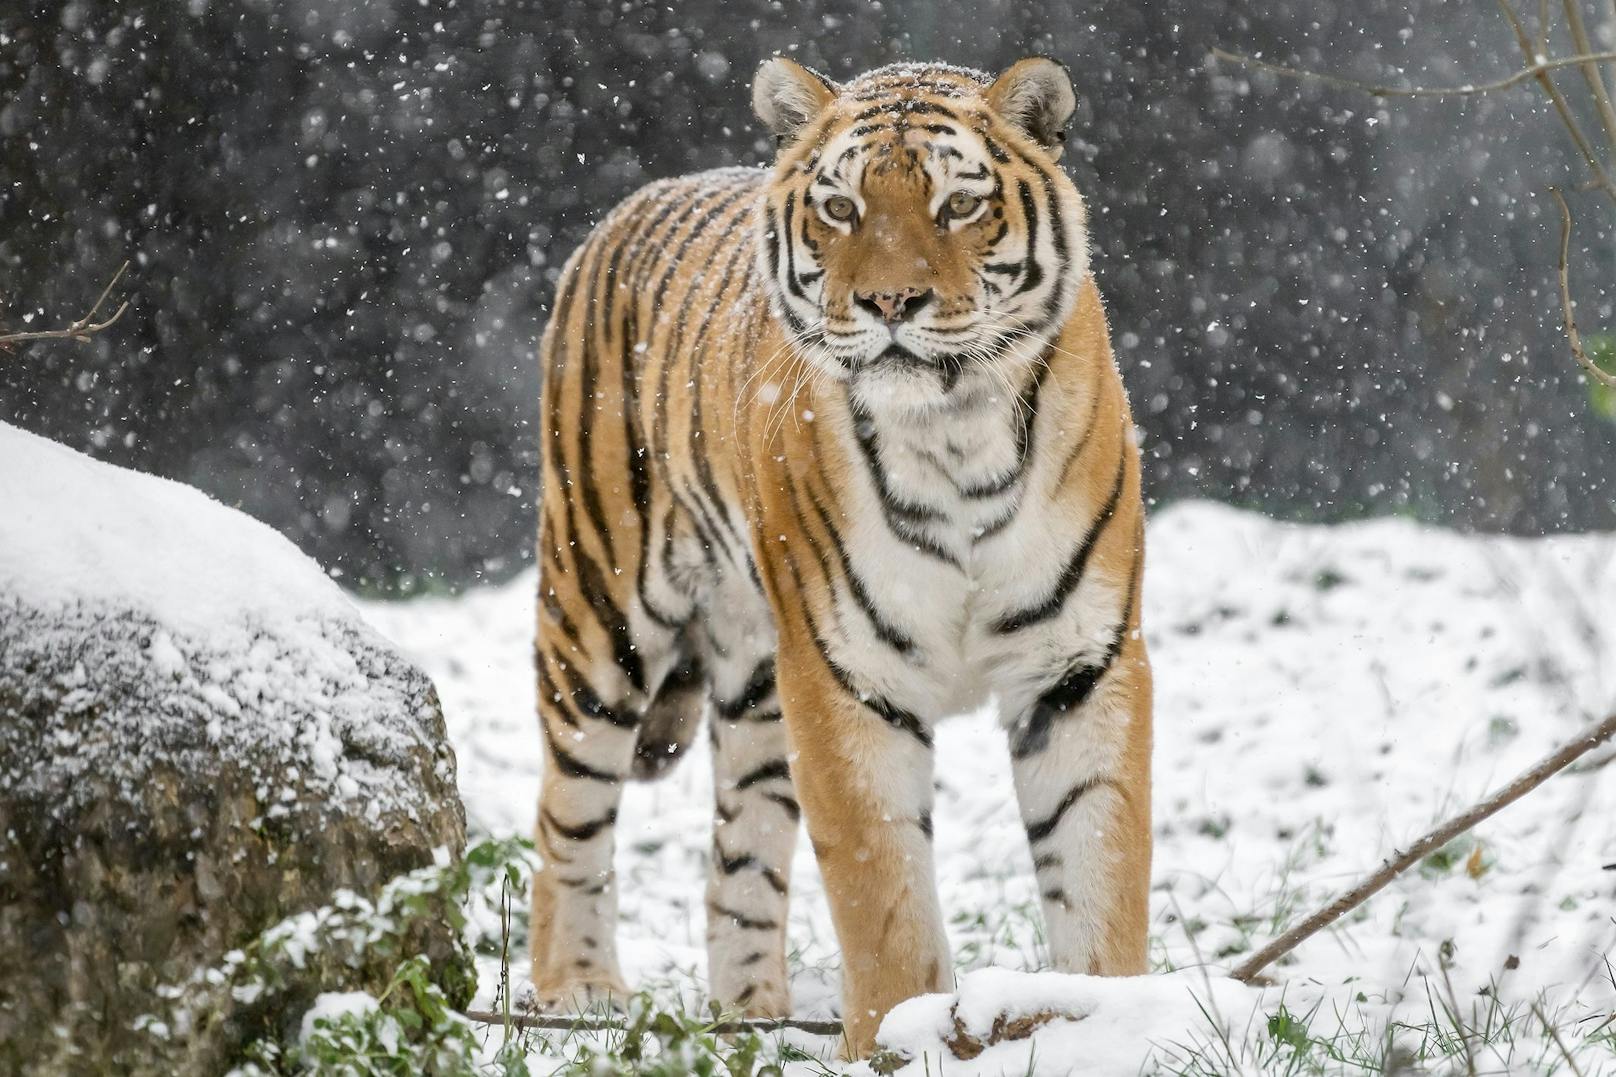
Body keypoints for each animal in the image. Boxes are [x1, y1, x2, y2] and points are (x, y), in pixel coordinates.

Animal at [526, 54, 1150, 1054]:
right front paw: (900, 1037)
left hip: (756, 680)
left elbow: (1100, 864)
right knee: (566, 815)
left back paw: (754, 1014)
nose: (890, 302)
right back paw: (578, 993)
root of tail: (627, 208)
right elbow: (881, 890)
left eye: (958, 205)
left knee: (738, 857)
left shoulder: (1081, 662)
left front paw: (1108, 1022)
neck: (956, 432)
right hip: (599, 610)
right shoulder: (846, 676)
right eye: (842, 208)